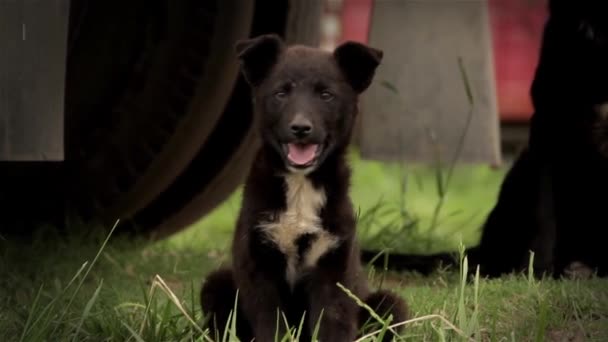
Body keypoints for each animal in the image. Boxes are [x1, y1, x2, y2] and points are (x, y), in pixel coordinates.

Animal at [202, 35, 406, 342]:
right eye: (281, 93)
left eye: (326, 95)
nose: (300, 128)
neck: (300, 186)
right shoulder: (258, 264)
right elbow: (270, 323)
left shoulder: (333, 266)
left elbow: (333, 322)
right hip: (217, 284)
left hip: (390, 304)